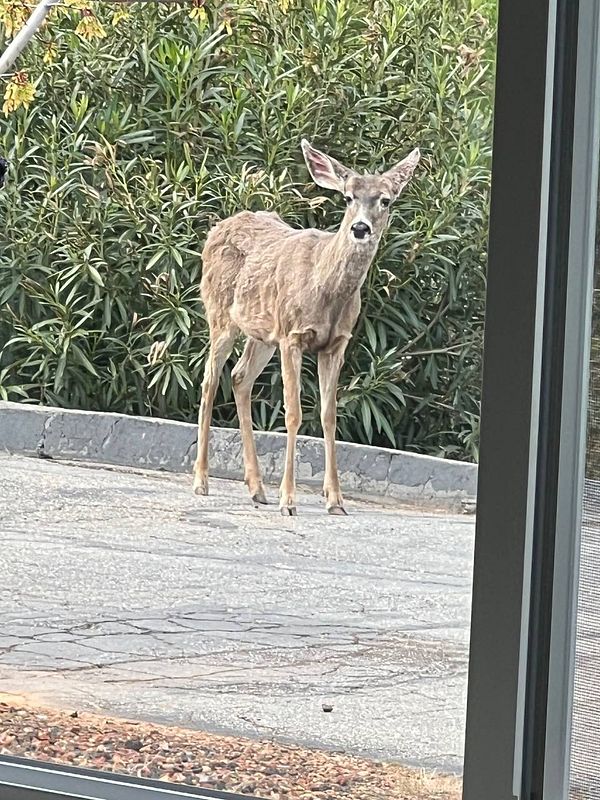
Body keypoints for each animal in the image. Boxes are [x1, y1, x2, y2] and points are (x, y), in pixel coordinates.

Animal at [193, 139, 420, 516]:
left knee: (239, 377)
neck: (325, 286)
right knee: (210, 380)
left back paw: (257, 488)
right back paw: (201, 480)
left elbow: (329, 415)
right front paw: (289, 500)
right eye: (348, 197)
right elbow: (293, 413)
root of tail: (217, 227)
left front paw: (336, 500)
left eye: (386, 200)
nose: (360, 228)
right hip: (220, 314)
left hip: (262, 333)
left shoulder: (336, 344)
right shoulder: (292, 336)